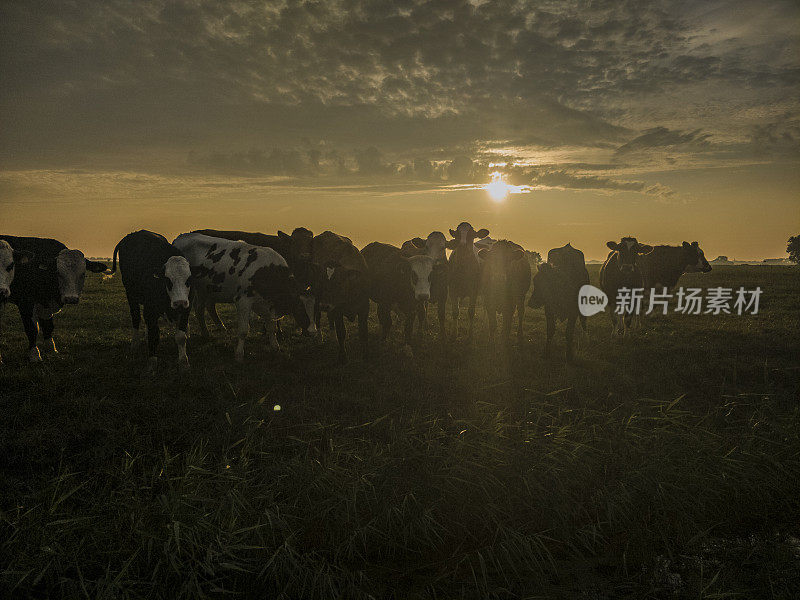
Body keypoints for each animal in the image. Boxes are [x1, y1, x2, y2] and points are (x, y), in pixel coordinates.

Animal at [110, 232, 193, 372]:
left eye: (189, 279)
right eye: (167, 279)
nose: (180, 302)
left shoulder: (186, 309)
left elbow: (181, 336)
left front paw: (184, 362)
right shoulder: (150, 309)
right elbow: (154, 336)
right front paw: (152, 363)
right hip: (131, 295)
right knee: (136, 318)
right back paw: (135, 343)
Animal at [173, 232, 314, 360]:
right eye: (300, 307)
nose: (313, 332)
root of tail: (182, 236)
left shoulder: (268, 304)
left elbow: (271, 328)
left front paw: (275, 348)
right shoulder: (243, 300)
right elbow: (243, 330)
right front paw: (239, 355)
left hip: (203, 289)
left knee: (199, 309)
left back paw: (205, 333)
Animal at [310, 229, 370, 360]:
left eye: (339, 282)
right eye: (321, 281)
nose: (324, 306)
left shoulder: (364, 307)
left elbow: (363, 332)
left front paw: (365, 355)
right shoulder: (337, 309)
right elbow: (341, 332)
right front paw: (342, 357)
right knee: (318, 316)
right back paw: (320, 338)